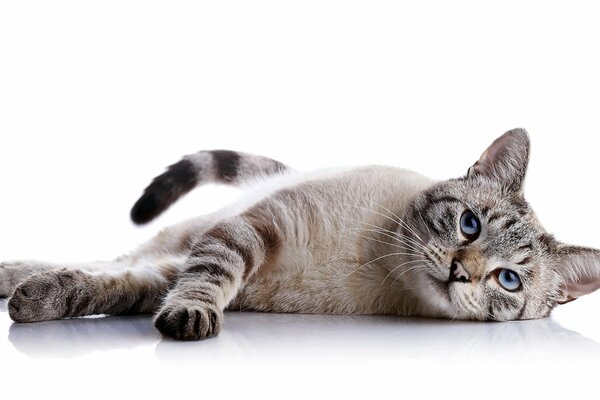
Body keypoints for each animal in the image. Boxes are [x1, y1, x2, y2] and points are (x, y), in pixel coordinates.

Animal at [1, 129, 600, 340]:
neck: (376, 265)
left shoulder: (174, 275)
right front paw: (193, 314)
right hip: (187, 233)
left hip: (174, 250)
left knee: (110, 264)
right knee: (112, 254)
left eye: (507, 281)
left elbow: (107, 288)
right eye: (469, 224)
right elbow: (207, 277)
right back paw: (10, 275)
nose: (460, 271)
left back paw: (16, 286)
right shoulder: (252, 230)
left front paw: (36, 303)